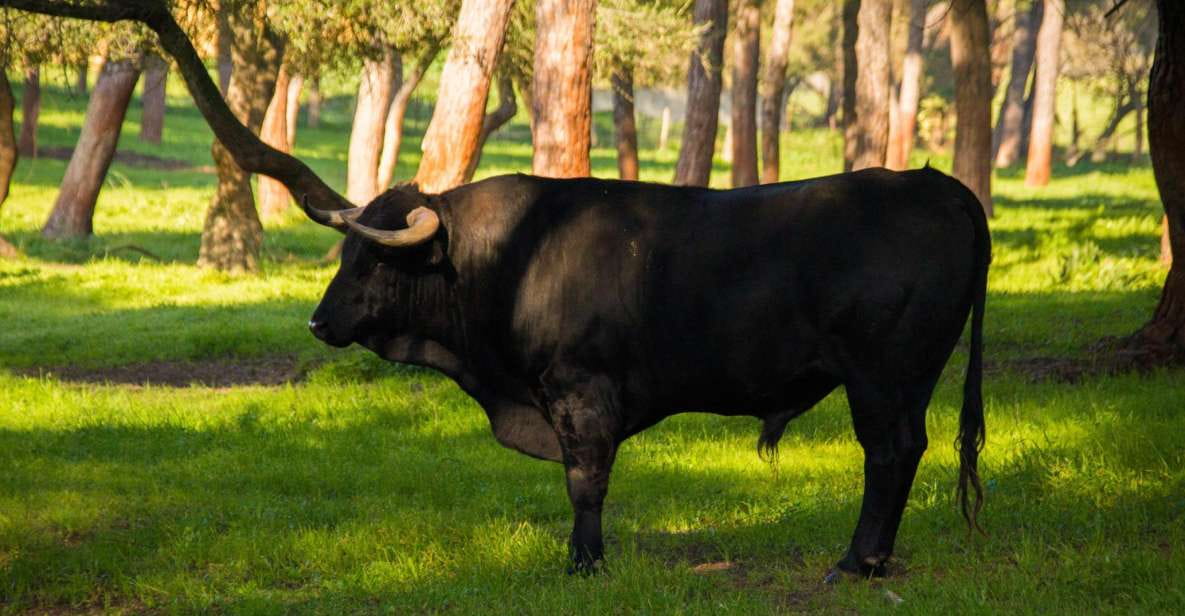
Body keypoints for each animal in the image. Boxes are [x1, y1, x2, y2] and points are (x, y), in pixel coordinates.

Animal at [301, 168, 990, 577]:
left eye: (372, 260)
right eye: (347, 252)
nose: (318, 322)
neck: (515, 256)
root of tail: (933, 183)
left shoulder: (580, 393)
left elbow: (586, 483)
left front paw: (584, 564)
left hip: (880, 376)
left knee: (888, 454)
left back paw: (857, 561)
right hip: (910, 379)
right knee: (907, 450)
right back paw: (875, 557)